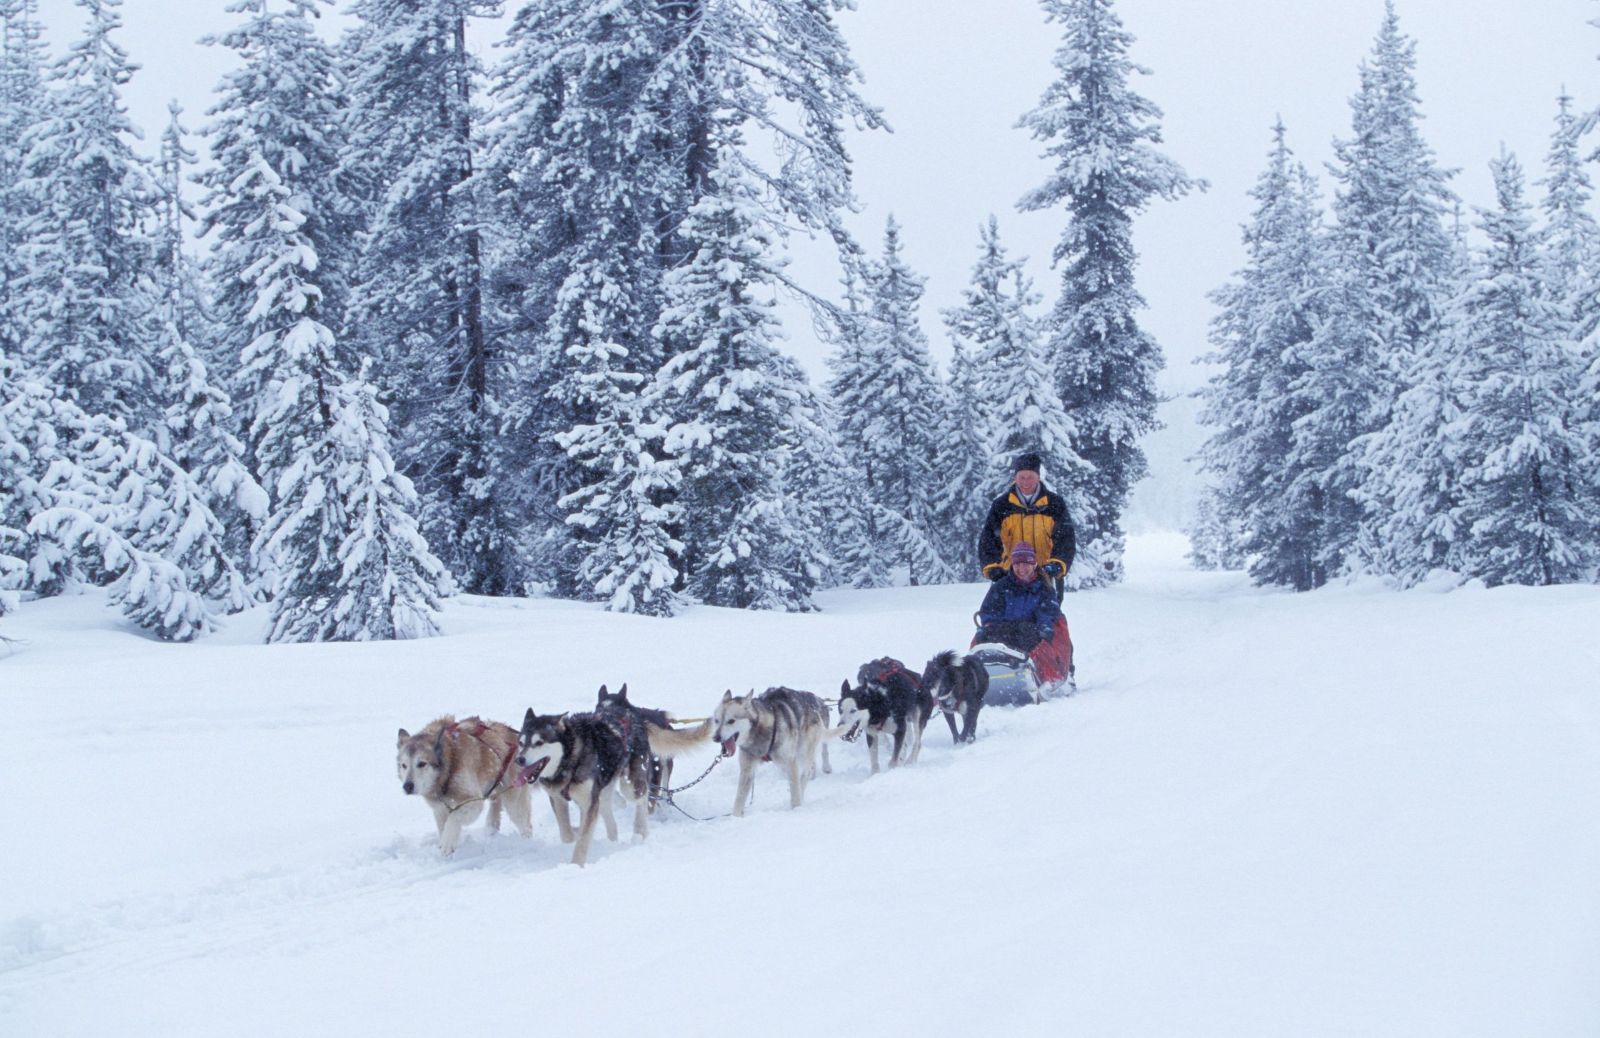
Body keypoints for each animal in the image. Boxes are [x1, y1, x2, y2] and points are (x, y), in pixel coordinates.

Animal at [396, 716, 534, 857]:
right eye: (404, 765)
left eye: (422, 763)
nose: (407, 786)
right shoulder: (440, 809)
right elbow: (443, 826)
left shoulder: (473, 802)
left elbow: (454, 818)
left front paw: (447, 843)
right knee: (496, 807)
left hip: (514, 803)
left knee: (525, 825)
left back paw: (526, 844)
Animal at [521, 703, 652, 863]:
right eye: (521, 743)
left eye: (539, 742)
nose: (519, 759)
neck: (570, 760)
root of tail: (628, 711)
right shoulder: (557, 798)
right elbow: (567, 834)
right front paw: (575, 832)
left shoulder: (588, 802)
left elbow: (583, 838)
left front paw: (576, 864)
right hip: (602, 792)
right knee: (611, 816)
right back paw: (612, 840)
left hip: (630, 786)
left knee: (643, 797)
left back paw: (640, 831)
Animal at [710, 687, 838, 818]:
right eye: (716, 721)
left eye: (731, 721)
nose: (715, 737)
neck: (760, 731)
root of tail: (817, 703)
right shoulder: (747, 769)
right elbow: (739, 798)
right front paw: (736, 817)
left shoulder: (790, 762)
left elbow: (795, 792)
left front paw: (796, 810)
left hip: (803, 752)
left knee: (806, 773)